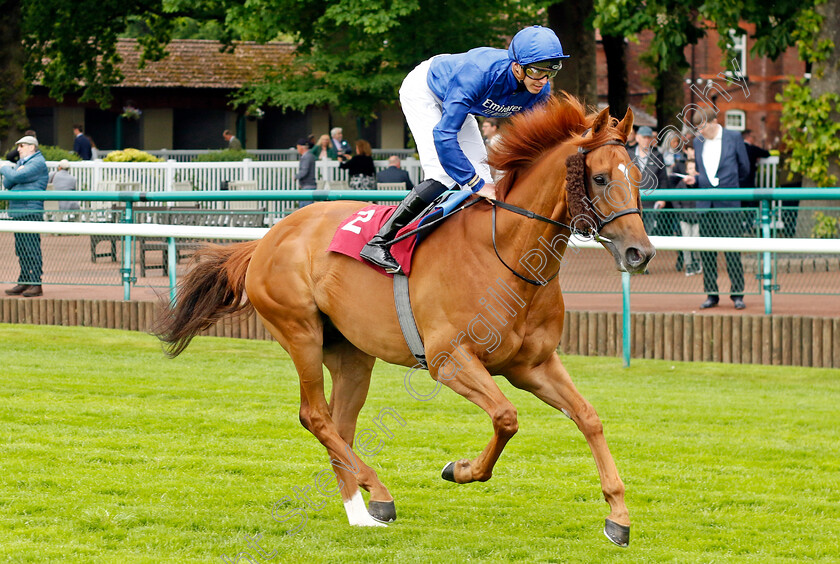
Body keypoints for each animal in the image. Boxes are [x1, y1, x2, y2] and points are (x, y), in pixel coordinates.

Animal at [156, 97, 656, 548]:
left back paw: (360, 512)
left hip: (352, 354)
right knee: (315, 416)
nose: (640, 253)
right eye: (600, 177)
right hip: (300, 332)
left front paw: (618, 517)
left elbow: (588, 417)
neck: (509, 256)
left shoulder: (533, 365)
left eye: (637, 179)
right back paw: (378, 493)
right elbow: (506, 417)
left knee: (339, 425)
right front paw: (460, 469)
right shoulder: (448, 360)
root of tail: (266, 238)